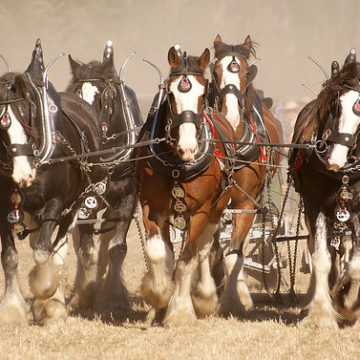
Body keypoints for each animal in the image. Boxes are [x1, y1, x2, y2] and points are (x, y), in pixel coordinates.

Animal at [0, 39, 107, 326]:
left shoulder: (55, 204)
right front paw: (12, 310)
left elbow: (42, 254)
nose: (23, 176)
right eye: (1, 127)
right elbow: (10, 257)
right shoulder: (3, 208)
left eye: (28, 117)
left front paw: (46, 293)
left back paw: (53, 302)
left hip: (75, 205)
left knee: (57, 252)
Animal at [65, 40, 143, 314]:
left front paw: (113, 298)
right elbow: (85, 249)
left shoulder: (128, 197)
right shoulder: (84, 199)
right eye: (74, 95)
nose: (86, 128)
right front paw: (85, 295)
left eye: (105, 97)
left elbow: (116, 248)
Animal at [136, 45, 238, 326]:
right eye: (170, 94)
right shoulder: (150, 208)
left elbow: (187, 261)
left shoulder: (200, 211)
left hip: (216, 211)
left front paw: (180, 312)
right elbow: (160, 254)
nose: (188, 147)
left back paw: (204, 297)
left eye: (202, 94)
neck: (176, 166)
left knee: (202, 251)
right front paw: (159, 296)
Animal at [211, 34, 282, 316]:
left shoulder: (246, 203)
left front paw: (237, 299)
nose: (229, 116)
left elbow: (234, 253)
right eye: (215, 71)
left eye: (244, 72)